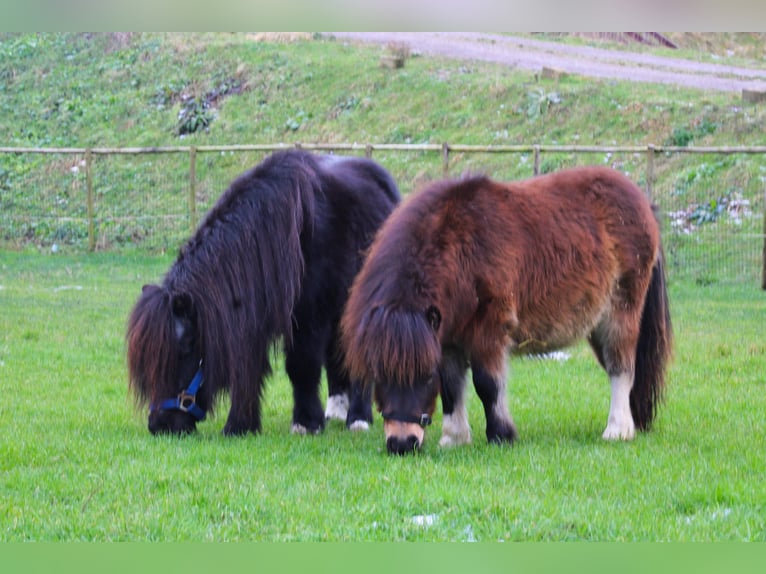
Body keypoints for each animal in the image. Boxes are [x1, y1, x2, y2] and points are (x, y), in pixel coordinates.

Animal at [126, 148, 402, 436]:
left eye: (184, 348)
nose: (160, 425)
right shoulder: (251, 313)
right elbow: (248, 366)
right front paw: (239, 426)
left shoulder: (309, 316)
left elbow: (301, 365)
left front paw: (305, 422)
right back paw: (336, 410)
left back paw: (358, 418)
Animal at [342, 165, 672, 454]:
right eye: (379, 374)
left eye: (424, 376)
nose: (401, 443)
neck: (463, 253)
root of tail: (643, 203)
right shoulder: (447, 339)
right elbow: (451, 387)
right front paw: (454, 438)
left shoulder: (489, 329)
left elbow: (487, 384)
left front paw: (501, 435)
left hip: (620, 313)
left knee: (621, 367)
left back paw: (618, 429)